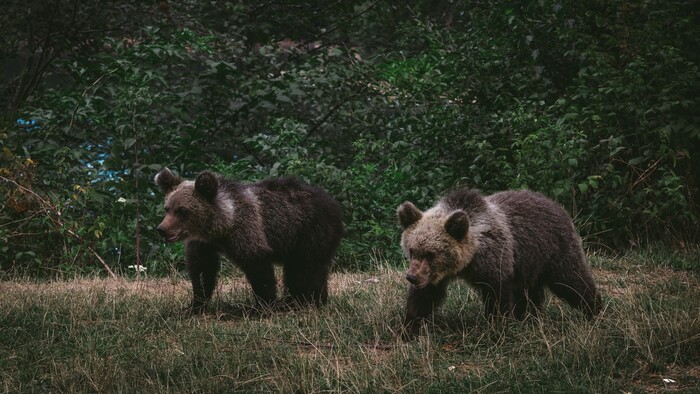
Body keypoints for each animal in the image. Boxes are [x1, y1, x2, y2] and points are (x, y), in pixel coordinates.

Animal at [154, 168, 344, 312]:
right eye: (167, 208)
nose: (162, 230)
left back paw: (304, 301)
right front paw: (194, 305)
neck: (223, 224)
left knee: (306, 268)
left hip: (310, 231)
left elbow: (258, 265)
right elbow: (202, 270)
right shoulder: (204, 243)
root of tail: (333, 202)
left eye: (182, 210)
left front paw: (264, 305)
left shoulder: (247, 230)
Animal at [396, 187, 604, 336]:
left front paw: (497, 326)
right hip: (529, 262)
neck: (471, 257)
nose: (412, 277)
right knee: (530, 292)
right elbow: (424, 297)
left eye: (431, 254)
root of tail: (555, 204)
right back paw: (528, 317)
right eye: (413, 250)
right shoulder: (435, 277)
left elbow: (497, 295)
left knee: (572, 280)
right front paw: (408, 328)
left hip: (554, 250)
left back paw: (595, 309)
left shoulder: (495, 261)